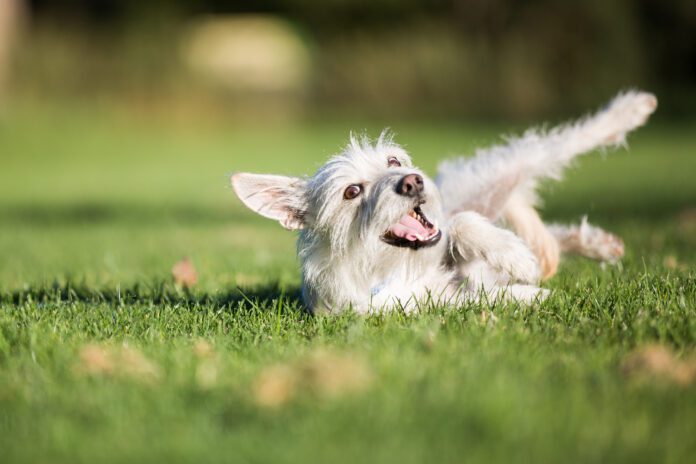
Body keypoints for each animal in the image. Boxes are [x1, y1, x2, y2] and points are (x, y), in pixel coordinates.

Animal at [232, 89, 656, 316]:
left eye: (393, 161)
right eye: (351, 192)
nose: (412, 181)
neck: (389, 268)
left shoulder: (446, 234)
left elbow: (462, 224)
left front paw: (516, 259)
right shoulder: (426, 306)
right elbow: (482, 296)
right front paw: (530, 293)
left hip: (504, 169)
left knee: (567, 141)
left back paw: (631, 109)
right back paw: (595, 245)